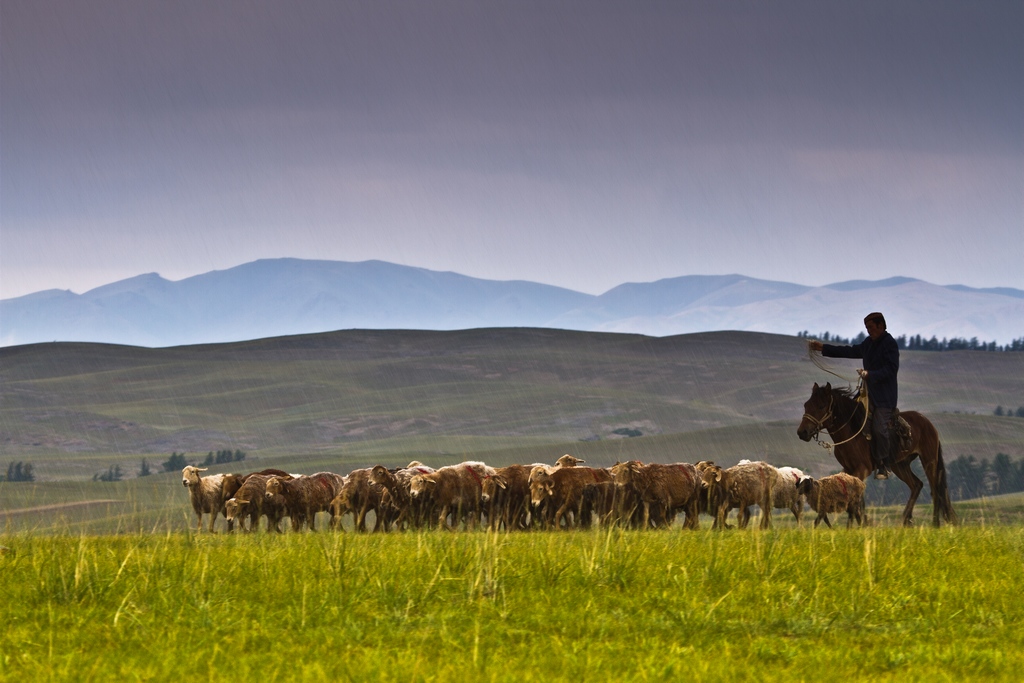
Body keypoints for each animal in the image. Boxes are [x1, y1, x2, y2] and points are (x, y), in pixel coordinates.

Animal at [794, 385, 954, 528]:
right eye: (806, 405)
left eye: (821, 406)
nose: (802, 432)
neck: (853, 432)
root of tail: (927, 422)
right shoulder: (848, 469)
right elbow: (857, 500)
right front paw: (862, 524)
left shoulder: (862, 469)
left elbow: (855, 500)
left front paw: (857, 525)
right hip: (900, 465)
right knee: (916, 485)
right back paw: (905, 520)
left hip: (929, 460)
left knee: (935, 490)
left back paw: (935, 523)